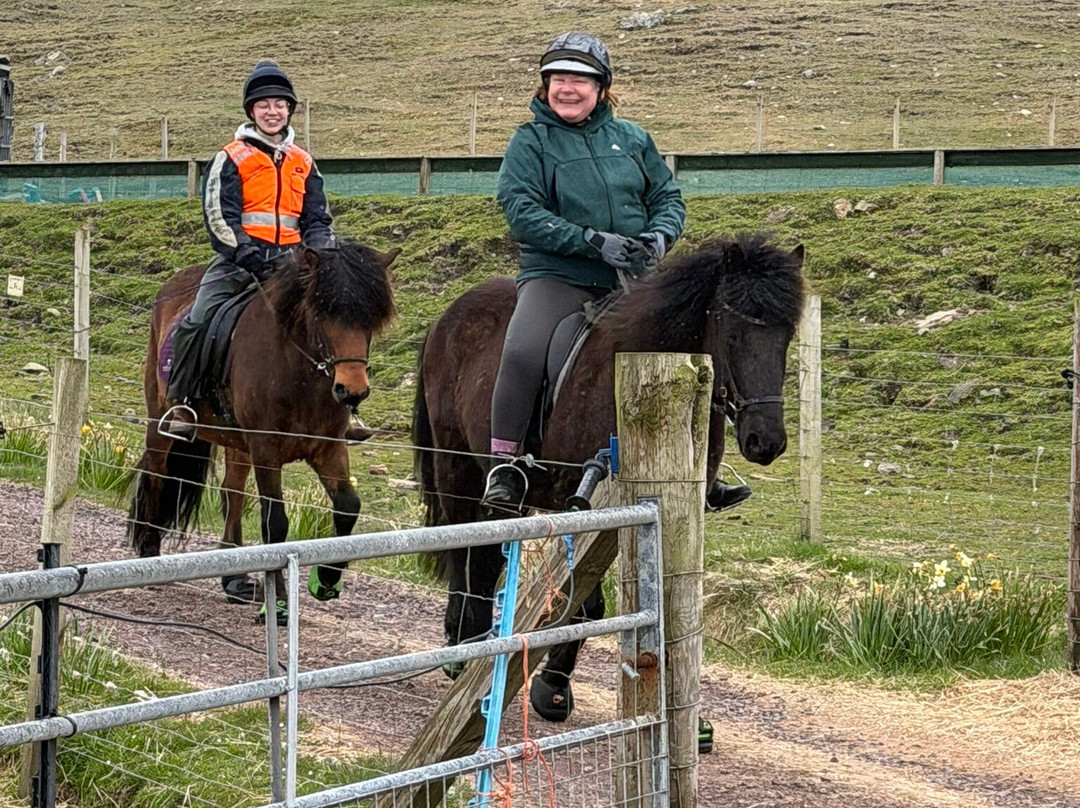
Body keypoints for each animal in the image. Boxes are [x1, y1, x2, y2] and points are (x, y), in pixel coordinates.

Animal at [127, 241, 398, 619]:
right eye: (322, 314)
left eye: (370, 320)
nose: (352, 391)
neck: (298, 374)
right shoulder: (267, 449)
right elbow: (275, 524)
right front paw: (280, 605)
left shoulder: (328, 447)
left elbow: (348, 506)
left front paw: (326, 579)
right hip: (161, 420)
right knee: (156, 472)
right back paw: (151, 554)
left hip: (235, 441)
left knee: (232, 493)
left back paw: (235, 579)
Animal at [412, 233, 805, 719]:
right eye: (734, 328)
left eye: (787, 334)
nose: (765, 441)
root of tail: (446, 315)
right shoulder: (582, 504)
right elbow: (587, 603)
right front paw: (552, 688)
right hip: (457, 468)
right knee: (465, 551)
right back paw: (461, 649)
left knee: (486, 554)